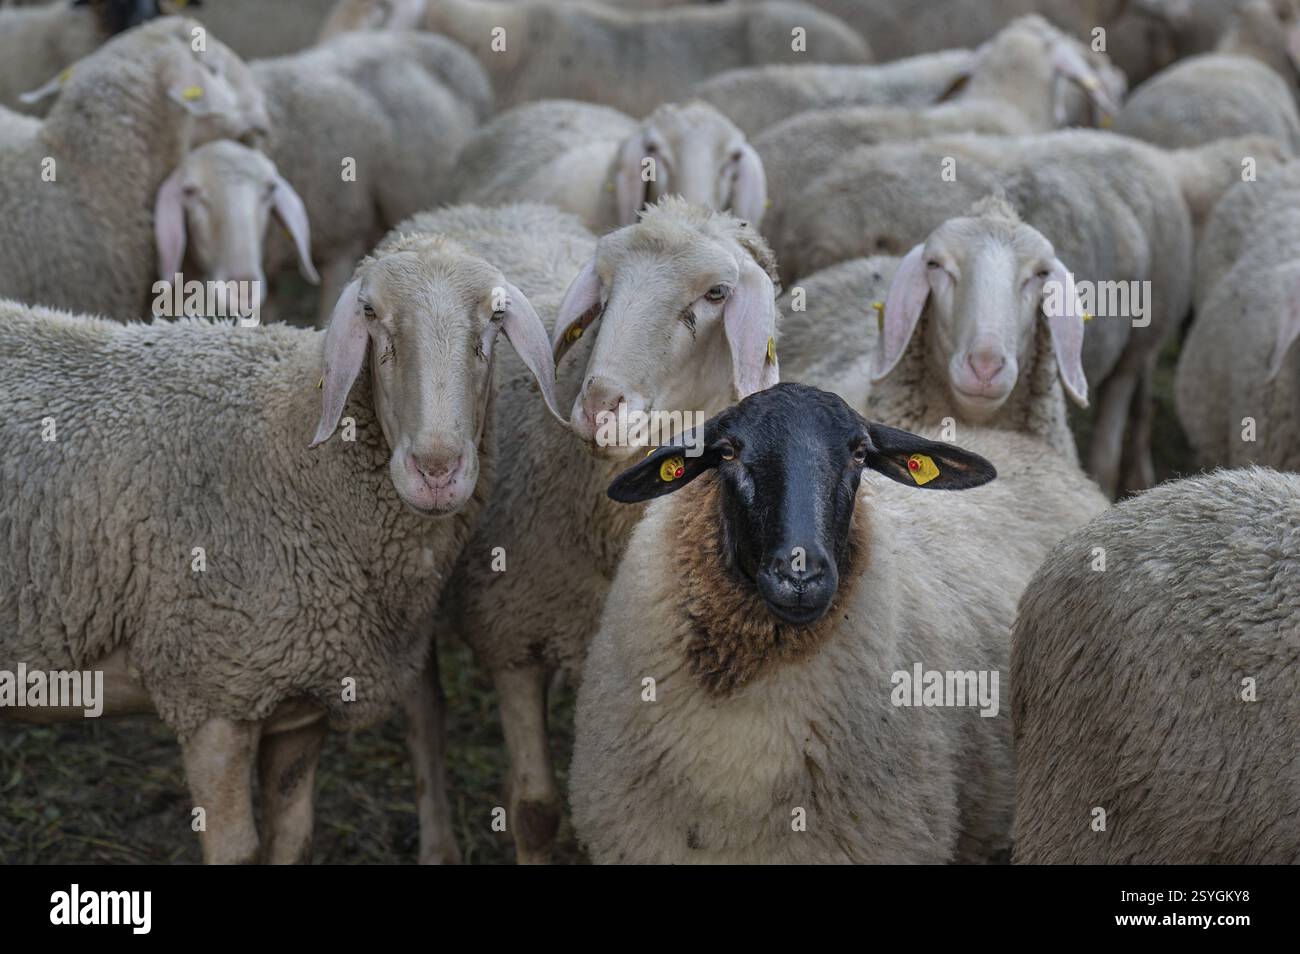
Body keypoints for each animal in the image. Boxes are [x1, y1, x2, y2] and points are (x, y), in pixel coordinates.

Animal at [0, 204, 569, 864]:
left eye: (496, 317)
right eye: (370, 314)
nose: (436, 470)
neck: (295, 446)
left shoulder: (301, 700)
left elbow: (293, 840)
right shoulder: (215, 692)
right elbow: (237, 851)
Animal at [425, 196, 782, 863]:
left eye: (717, 293)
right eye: (606, 288)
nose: (598, 408)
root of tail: (478, 206)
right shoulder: (512, 631)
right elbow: (536, 812)